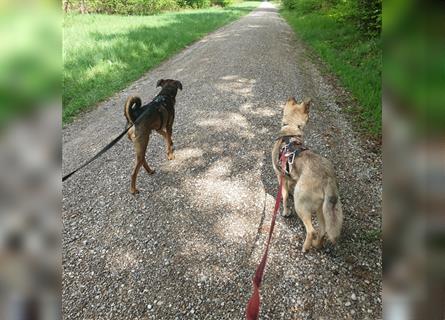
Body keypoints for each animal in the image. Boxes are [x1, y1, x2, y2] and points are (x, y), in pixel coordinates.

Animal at [270, 97, 344, 252]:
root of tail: (327, 178)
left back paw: (305, 247)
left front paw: (285, 211)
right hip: (322, 209)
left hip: (301, 204)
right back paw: (317, 245)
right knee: (322, 231)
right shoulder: (291, 177)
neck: (290, 132)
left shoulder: (281, 177)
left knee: (312, 230)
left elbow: (284, 197)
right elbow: (289, 188)